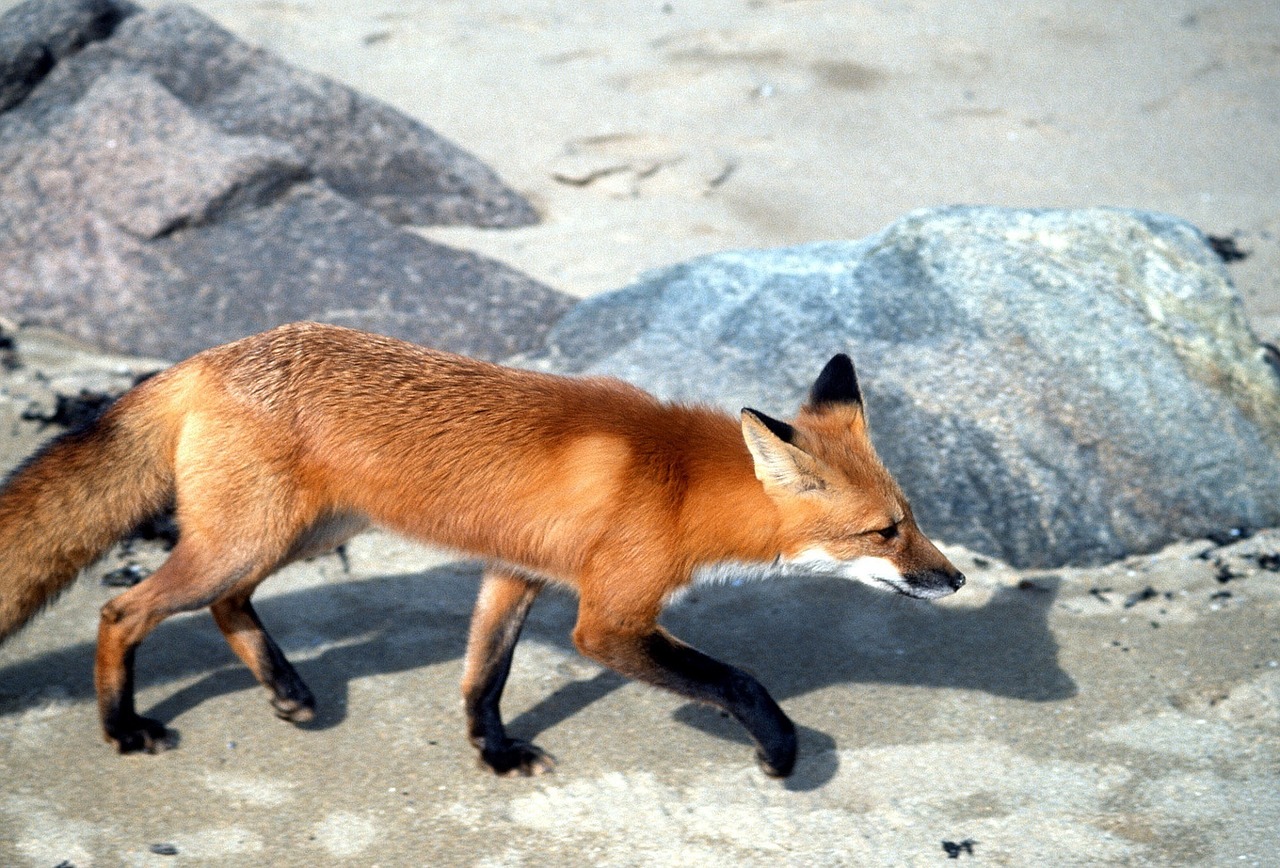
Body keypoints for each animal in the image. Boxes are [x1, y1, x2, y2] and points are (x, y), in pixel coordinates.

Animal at [0, 322, 962, 778]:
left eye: (913, 517)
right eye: (884, 532)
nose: (953, 578)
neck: (679, 481)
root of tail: (209, 356)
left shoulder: (519, 572)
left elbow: (483, 677)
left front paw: (493, 754)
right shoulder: (608, 620)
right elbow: (741, 682)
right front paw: (781, 752)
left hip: (298, 536)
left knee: (226, 605)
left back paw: (288, 691)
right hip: (245, 540)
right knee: (123, 609)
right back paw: (122, 726)